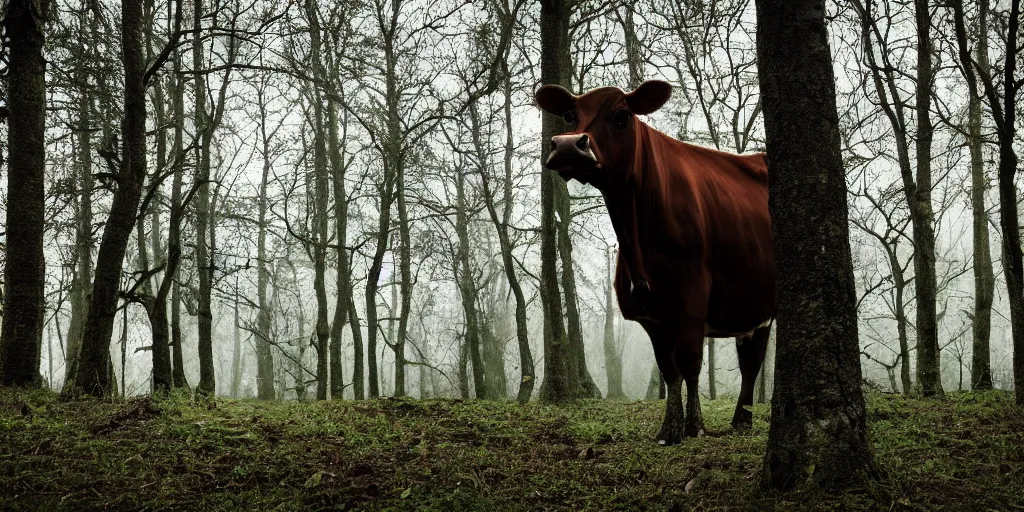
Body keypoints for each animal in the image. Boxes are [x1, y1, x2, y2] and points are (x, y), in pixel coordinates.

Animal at [540, 78, 770, 444]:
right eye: (568, 115)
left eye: (621, 116)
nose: (567, 146)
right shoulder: (649, 314)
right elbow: (668, 368)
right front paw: (669, 429)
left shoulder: (692, 296)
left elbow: (689, 361)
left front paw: (695, 426)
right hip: (748, 304)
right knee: (749, 357)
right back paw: (741, 420)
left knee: (753, 361)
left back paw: (741, 419)